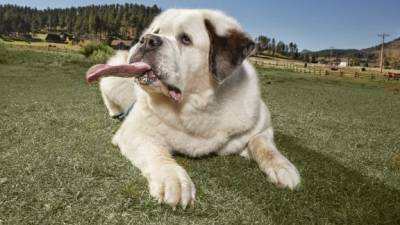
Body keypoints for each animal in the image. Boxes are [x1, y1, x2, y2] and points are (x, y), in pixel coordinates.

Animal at [87, 8, 300, 209]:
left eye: (185, 39)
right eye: (156, 31)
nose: (147, 39)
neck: (195, 105)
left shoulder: (261, 125)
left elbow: (262, 145)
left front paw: (284, 168)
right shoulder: (135, 131)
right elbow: (157, 153)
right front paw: (174, 179)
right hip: (113, 79)